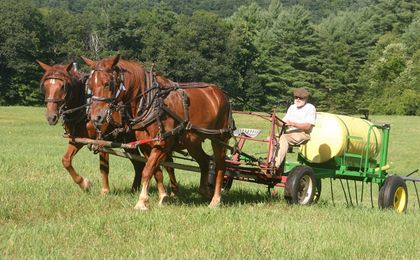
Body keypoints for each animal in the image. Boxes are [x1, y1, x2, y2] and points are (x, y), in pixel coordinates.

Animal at [38, 59, 146, 193]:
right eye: (45, 86)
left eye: (63, 86)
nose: (51, 117)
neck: (85, 107)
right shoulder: (78, 139)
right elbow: (66, 161)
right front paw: (85, 184)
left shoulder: (102, 140)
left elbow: (104, 167)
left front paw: (105, 190)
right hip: (128, 142)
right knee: (139, 164)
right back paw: (134, 190)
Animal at [82, 54, 233, 209]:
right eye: (90, 85)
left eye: (107, 83)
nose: (96, 117)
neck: (152, 103)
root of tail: (221, 93)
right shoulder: (146, 146)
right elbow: (156, 172)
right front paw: (163, 197)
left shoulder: (162, 144)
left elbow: (147, 170)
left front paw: (141, 202)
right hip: (192, 142)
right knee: (205, 161)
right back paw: (205, 191)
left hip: (220, 139)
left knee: (220, 166)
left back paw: (215, 200)